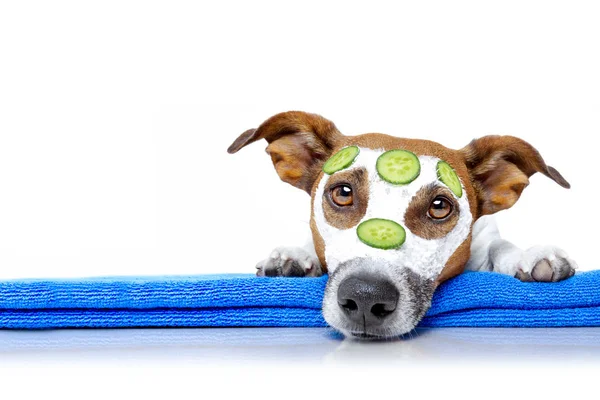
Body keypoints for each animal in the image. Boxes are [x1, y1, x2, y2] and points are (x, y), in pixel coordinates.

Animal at [226, 111, 576, 340]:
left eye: (439, 207)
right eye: (342, 193)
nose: (365, 298)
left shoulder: (484, 237)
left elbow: (500, 246)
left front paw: (529, 256)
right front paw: (294, 257)